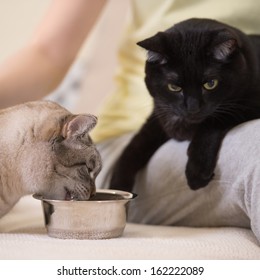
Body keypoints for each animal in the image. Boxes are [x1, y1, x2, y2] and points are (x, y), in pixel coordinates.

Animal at [108, 18, 260, 192]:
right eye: (174, 87)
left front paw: (197, 171)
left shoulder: (248, 106)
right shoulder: (158, 118)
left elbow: (212, 122)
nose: (192, 108)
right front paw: (117, 190)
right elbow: (132, 148)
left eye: (210, 84)